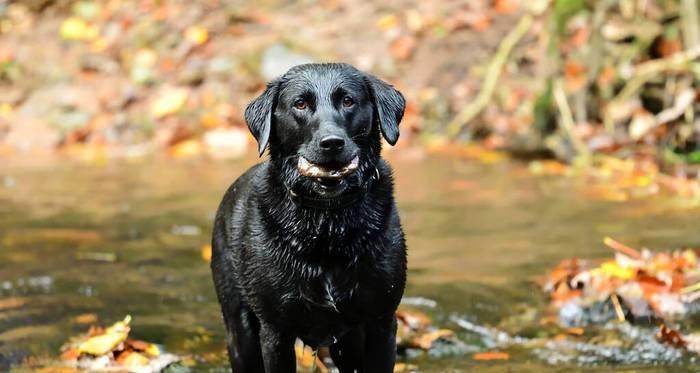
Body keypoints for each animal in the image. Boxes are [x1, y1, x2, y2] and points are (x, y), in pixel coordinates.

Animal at [211, 62, 408, 370]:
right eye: (300, 104)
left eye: (348, 101)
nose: (332, 143)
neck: (327, 227)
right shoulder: (276, 331)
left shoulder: (381, 322)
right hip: (239, 329)